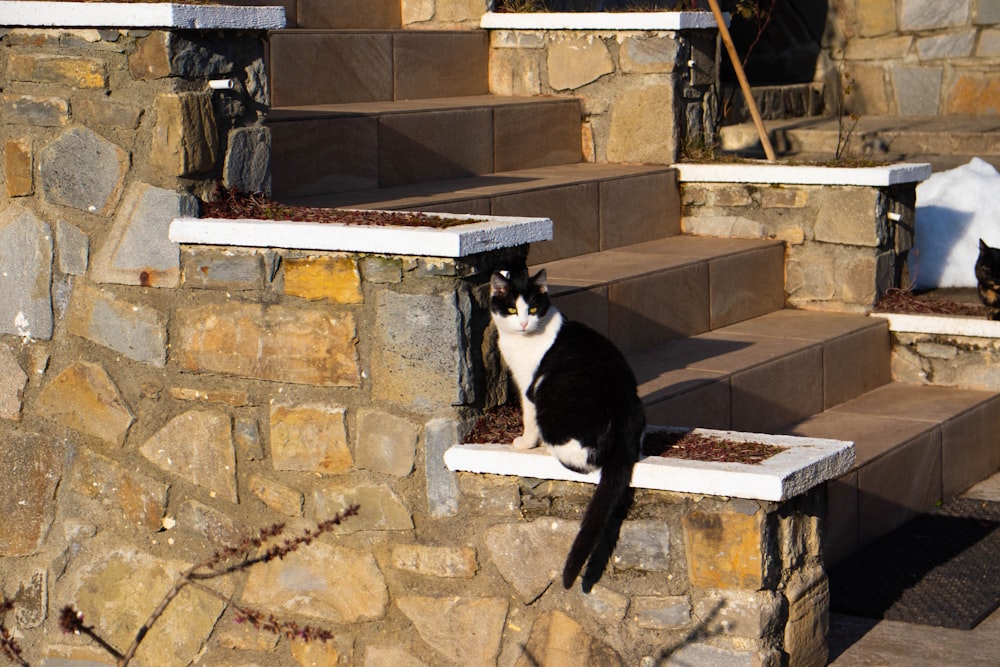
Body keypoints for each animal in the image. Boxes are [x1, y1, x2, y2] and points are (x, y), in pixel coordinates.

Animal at [490, 268, 644, 588]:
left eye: (532, 309)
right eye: (511, 310)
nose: (523, 323)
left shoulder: (528, 386)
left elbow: (528, 417)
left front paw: (525, 442)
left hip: (552, 400)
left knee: (580, 460)